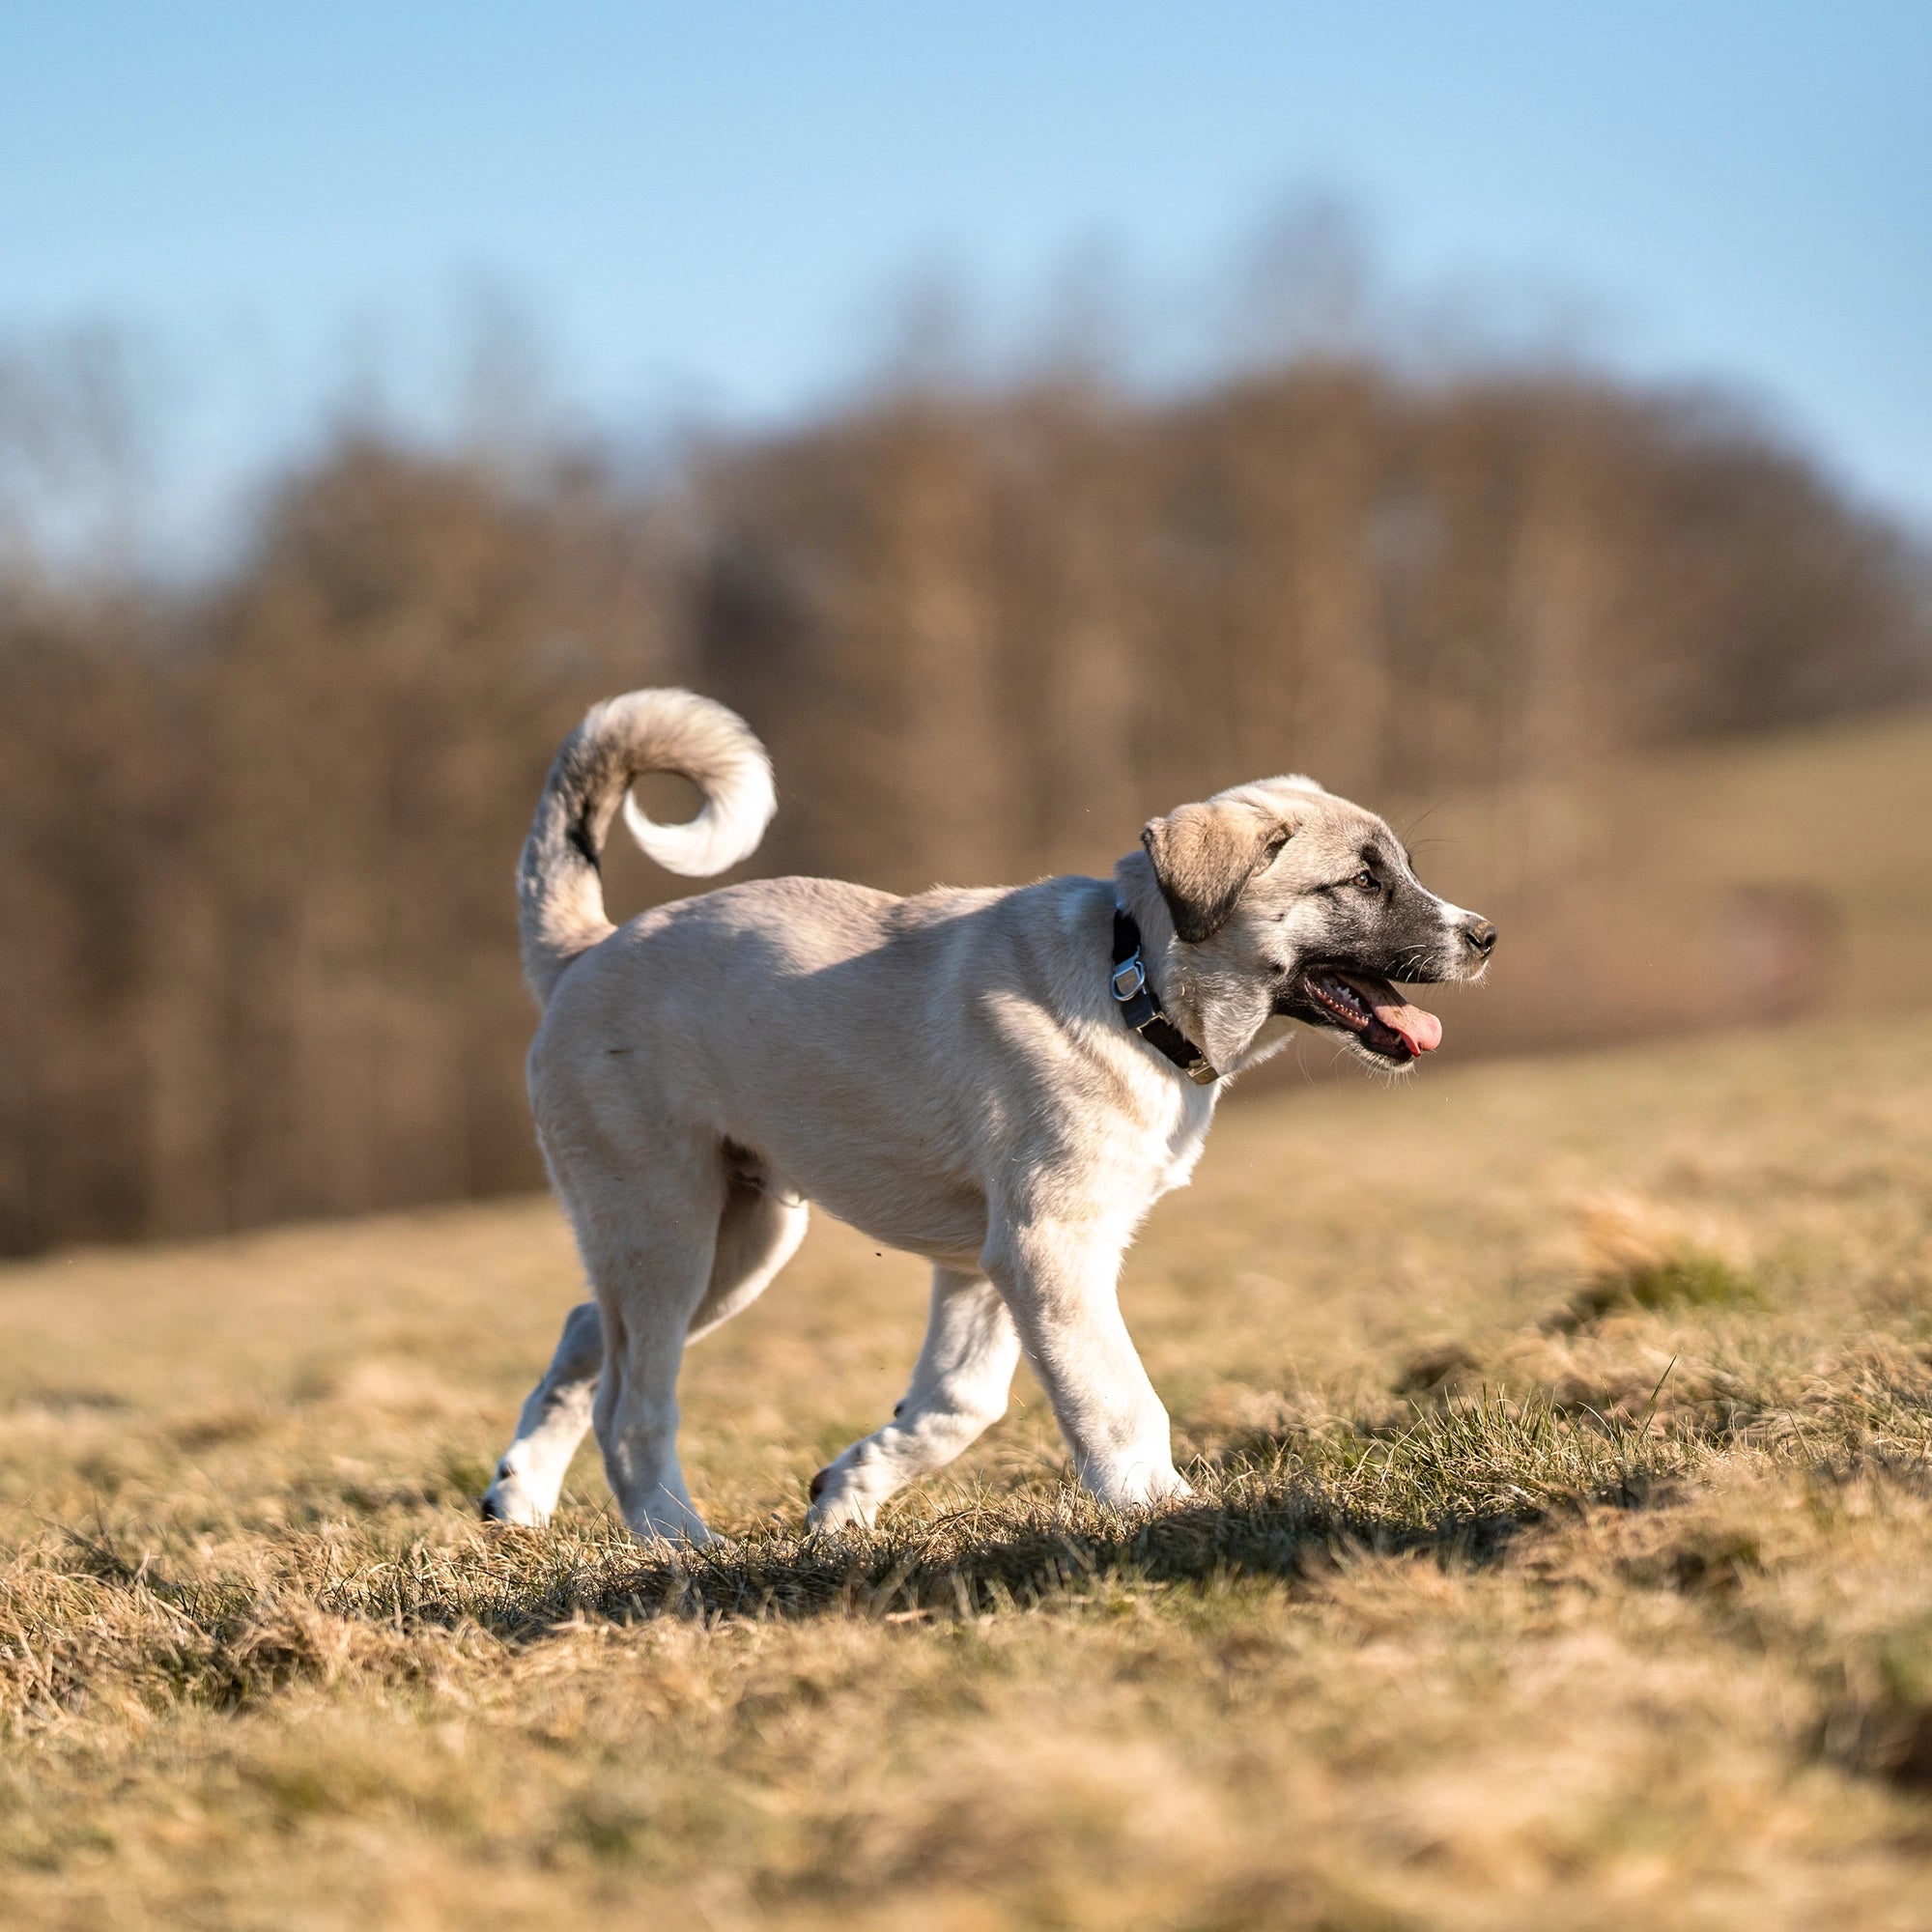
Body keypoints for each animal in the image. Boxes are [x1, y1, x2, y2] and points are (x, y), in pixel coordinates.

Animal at [479, 692, 1492, 1538]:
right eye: (1361, 882)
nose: (1485, 936)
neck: (1131, 982)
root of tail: (583, 952)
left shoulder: (986, 1265)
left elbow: (957, 1403)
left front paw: (847, 1494)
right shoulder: (1048, 1245)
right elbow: (1116, 1396)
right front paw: (1159, 1508)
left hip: (738, 1240)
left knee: (585, 1332)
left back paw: (518, 1497)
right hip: (667, 1226)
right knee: (629, 1404)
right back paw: (677, 1541)